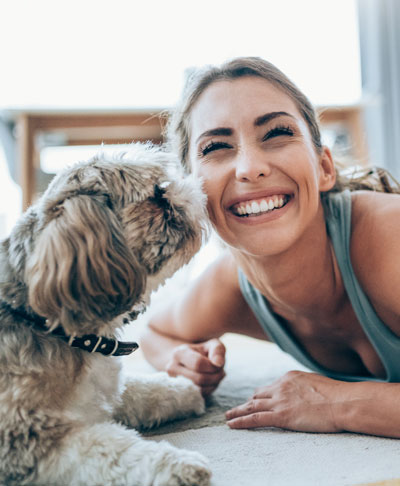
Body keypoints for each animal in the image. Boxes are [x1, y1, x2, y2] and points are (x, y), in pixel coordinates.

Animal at [0, 145, 211, 486]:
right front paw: (179, 465)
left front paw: (184, 389)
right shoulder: (27, 439)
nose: (192, 189)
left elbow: (140, 389)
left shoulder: (106, 390)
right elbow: (111, 450)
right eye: (156, 194)